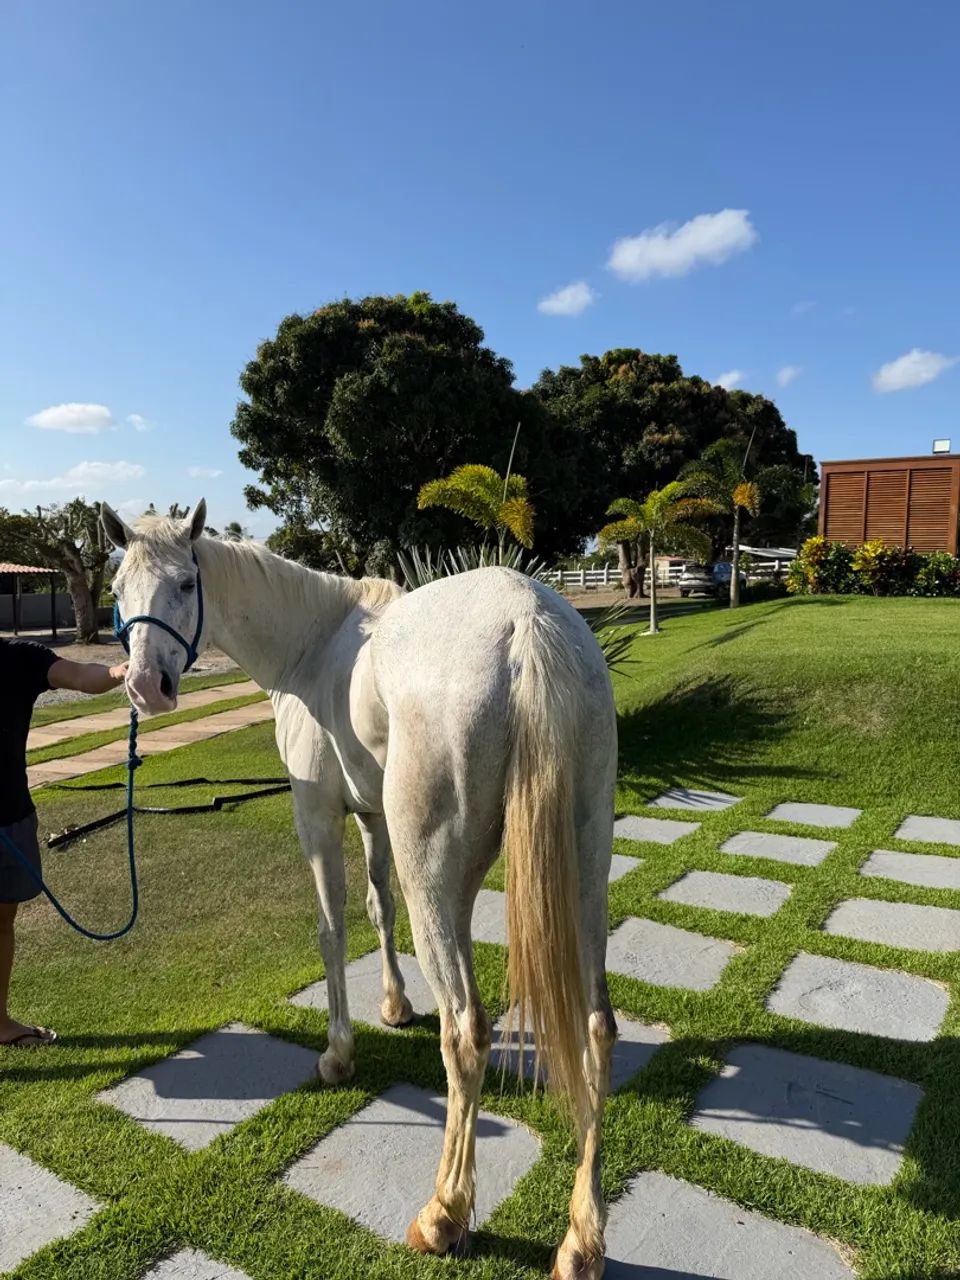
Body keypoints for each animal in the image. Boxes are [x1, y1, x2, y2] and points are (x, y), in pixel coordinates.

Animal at [100, 500, 618, 1280]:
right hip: (585, 867)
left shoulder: (316, 815)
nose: (145, 687)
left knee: (467, 1031)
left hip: (436, 872)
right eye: (119, 590)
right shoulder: (371, 818)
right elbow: (379, 907)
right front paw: (395, 1005)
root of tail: (528, 625)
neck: (314, 645)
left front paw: (338, 1054)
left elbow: (332, 928)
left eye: (187, 583)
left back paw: (443, 1215)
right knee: (594, 1028)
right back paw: (580, 1241)